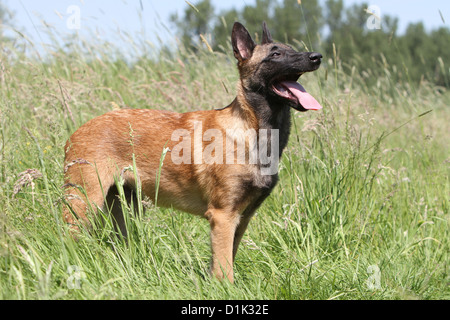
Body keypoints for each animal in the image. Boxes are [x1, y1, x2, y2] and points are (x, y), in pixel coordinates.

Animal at [64, 21, 324, 282]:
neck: (252, 130)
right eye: (275, 54)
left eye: (292, 49)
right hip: (84, 203)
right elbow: (224, 269)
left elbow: (226, 259)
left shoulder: (240, 219)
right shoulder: (223, 216)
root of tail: (77, 132)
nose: (317, 57)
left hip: (125, 208)